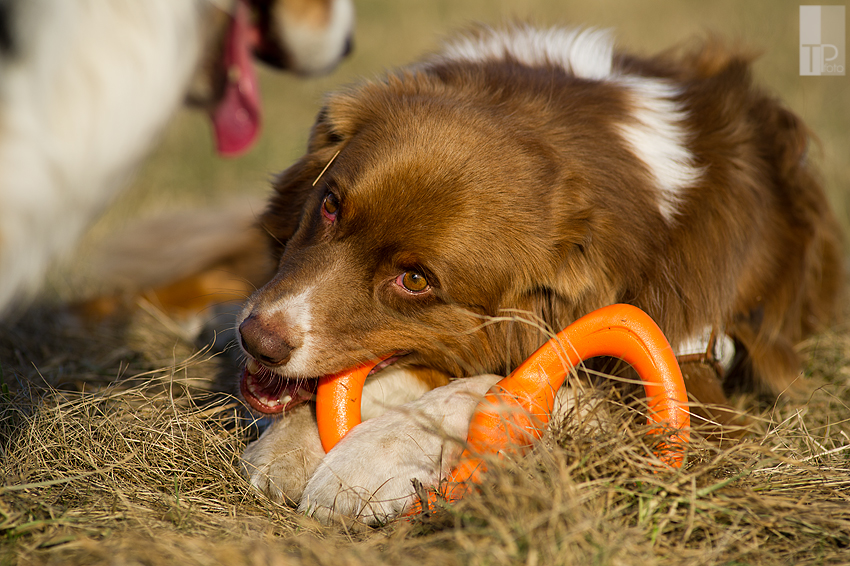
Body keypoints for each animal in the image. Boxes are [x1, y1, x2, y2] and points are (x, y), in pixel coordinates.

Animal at [237, 24, 840, 524]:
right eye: (331, 206)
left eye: (416, 281)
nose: (256, 341)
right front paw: (294, 442)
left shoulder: (700, 395)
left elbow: (500, 387)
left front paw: (365, 461)